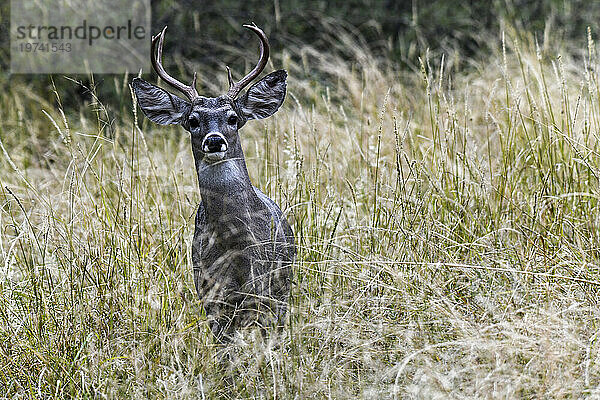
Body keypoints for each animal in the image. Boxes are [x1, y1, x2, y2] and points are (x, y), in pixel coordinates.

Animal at [132, 23, 296, 340]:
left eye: (233, 117)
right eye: (193, 121)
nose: (215, 140)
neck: (234, 245)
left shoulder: (263, 285)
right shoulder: (210, 293)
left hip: (283, 284)